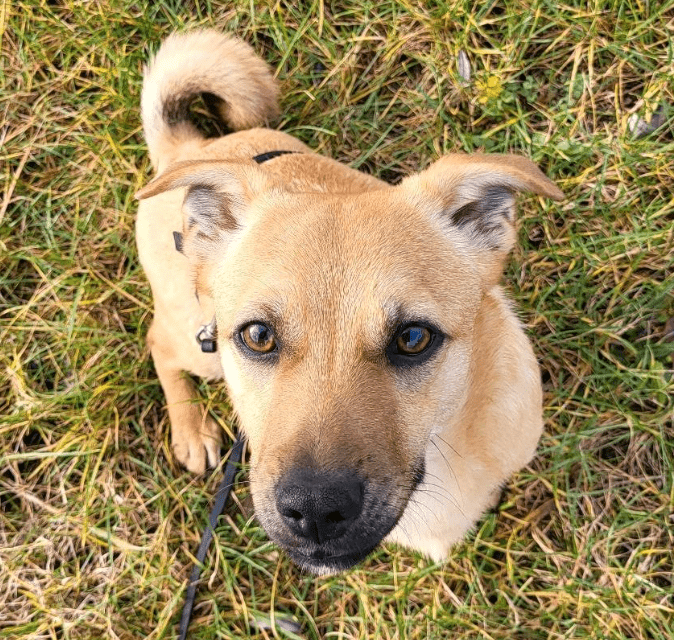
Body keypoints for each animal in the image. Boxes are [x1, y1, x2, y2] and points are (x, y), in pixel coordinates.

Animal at [133, 28, 560, 576]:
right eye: (258, 335)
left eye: (413, 337)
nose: (314, 510)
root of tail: (194, 147)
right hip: (199, 343)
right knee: (159, 344)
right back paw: (189, 428)